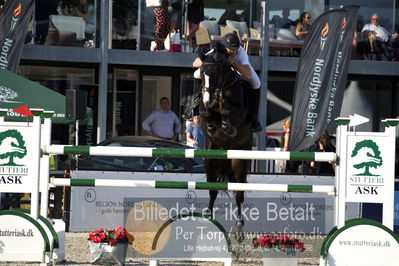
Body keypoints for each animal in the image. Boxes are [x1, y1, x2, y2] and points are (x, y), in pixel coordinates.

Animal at [198, 43, 252, 241]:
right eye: (201, 73)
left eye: (214, 74)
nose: (208, 99)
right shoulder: (204, 108)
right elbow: (206, 112)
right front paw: (212, 125)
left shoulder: (239, 112)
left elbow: (228, 110)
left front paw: (227, 126)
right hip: (211, 160)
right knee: (212, 190)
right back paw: (208, 217)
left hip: (240, 160)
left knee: (239, 194)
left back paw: (239, 228)